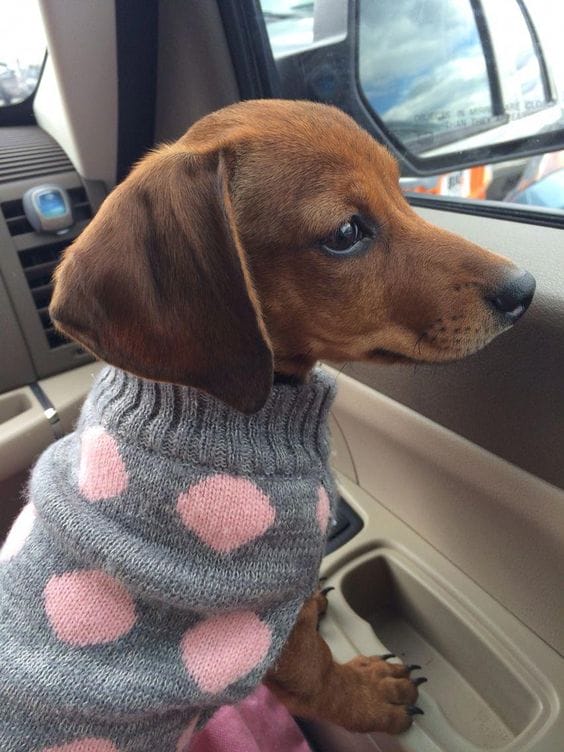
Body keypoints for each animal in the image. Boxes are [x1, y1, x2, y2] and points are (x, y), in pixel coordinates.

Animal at [0, 100, 535, 750]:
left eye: (399, 188)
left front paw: (314, 609)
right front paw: (371, 697)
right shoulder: (246, 632)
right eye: (345, 234)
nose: (525, 290)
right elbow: (318, 677)